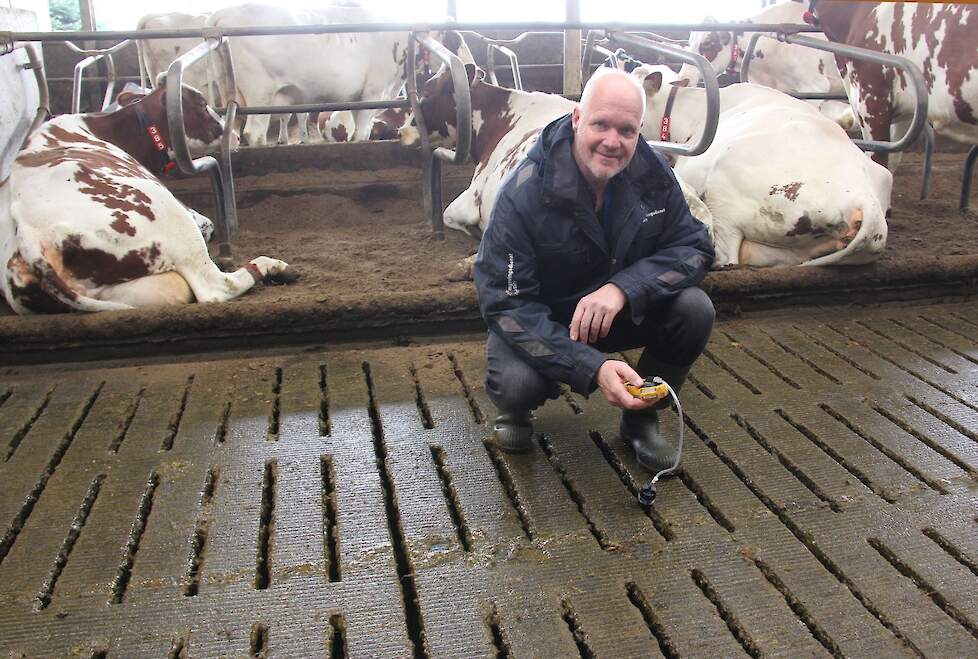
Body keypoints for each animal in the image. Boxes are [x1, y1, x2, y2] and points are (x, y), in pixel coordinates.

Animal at [1, 84, 290, 314]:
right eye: (200, 104)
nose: (236, 136)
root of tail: (29, 235)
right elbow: (207, 225)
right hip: (166, 212)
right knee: (216, 287)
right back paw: (271, 265)